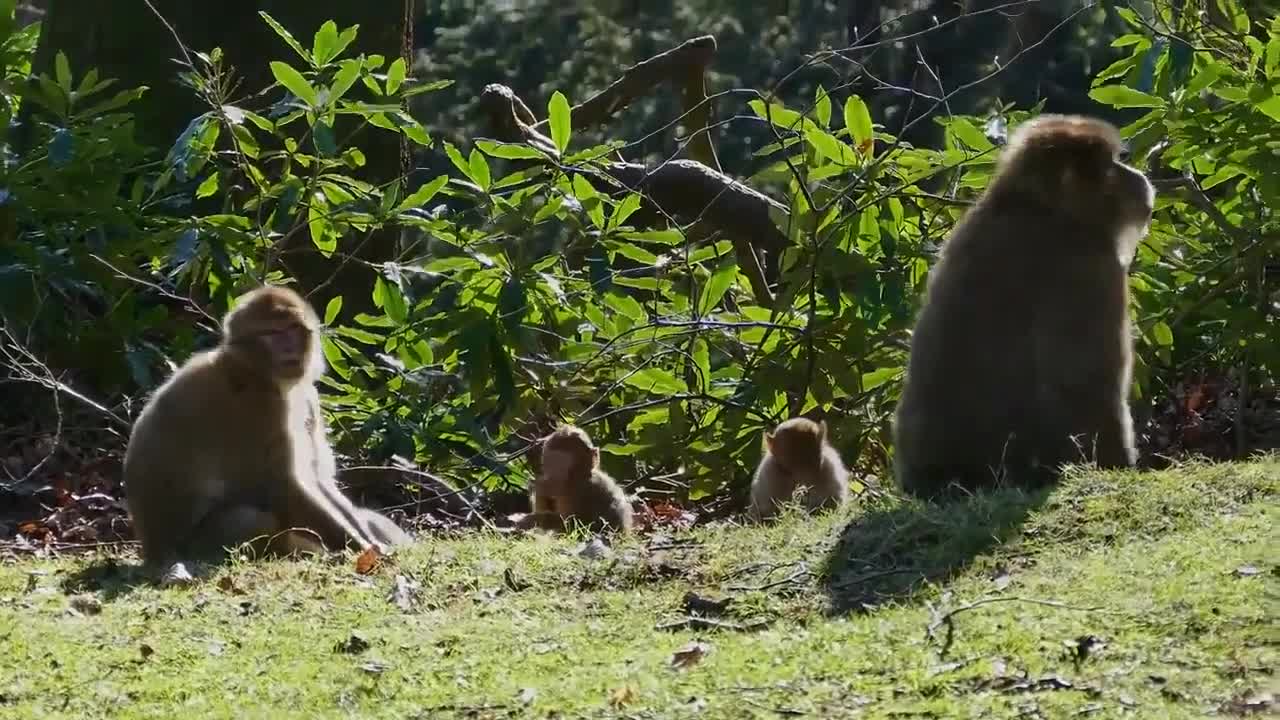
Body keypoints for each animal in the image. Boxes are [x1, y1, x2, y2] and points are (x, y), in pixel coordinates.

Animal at [122, 283, 407, 568]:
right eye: (273, 333)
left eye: (292, 329)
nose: (289, 348)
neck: (256, 370)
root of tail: (153, 552)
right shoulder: (261, 404)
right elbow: (284, 487)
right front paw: (365, 549)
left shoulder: (307, 397)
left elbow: (318, 479)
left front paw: (368, 537)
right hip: (195, 545)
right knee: (251, 519)